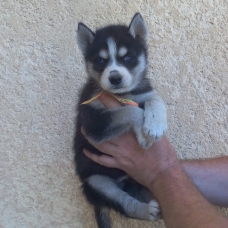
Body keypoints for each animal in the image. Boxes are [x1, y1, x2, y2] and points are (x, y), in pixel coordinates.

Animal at [75, 13, 167, 227]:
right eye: (100, 61)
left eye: (128, 57)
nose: (115, 78)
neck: (124, 94)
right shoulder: (92, 123)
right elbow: (128, 111)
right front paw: (143, 135)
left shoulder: (144, 93)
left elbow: (154, 98)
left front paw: (155, 124)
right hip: (96, 180)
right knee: (123, 203)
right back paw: (146, 210)